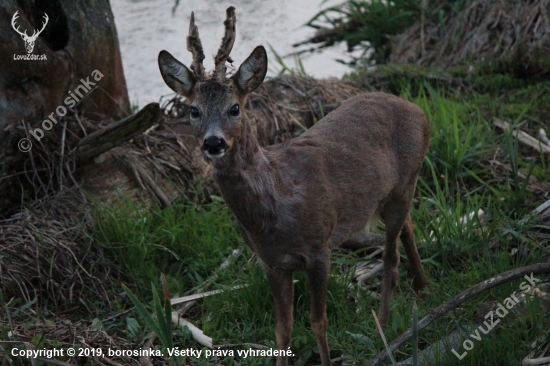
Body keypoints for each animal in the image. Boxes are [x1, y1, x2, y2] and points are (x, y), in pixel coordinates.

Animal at [160, 6, 432, 366]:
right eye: (193, 110)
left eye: (235, 108)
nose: (214, 142)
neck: (277, 204)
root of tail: (420, 111)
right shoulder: (272, 262)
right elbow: (283, 327)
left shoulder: (319, 249)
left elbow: (318, 321)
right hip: (390, 194)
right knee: (409, 228)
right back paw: (422, 288)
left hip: (405, 181)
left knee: (391, 256)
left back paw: (385, 326)